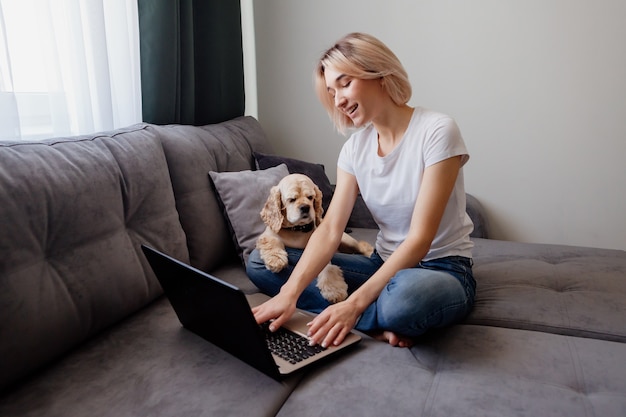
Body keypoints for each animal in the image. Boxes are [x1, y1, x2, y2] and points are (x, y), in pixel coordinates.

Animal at [256, 172, 372, 302]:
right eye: (292, 199)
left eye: (310, 197)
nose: (305, 207)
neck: (297, 229)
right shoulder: (268, 234)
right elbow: (271, 242)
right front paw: (276, 260)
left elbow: (327, 267)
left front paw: (334, 290)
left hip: (347, 241)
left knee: (363, 247)